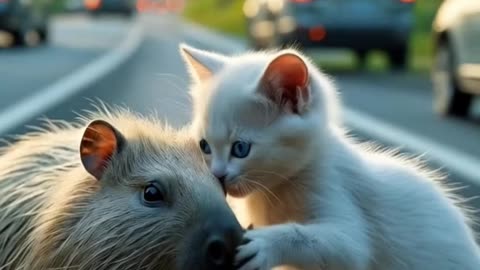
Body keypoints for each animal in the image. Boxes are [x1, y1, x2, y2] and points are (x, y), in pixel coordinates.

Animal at [179, 44, 480, 270]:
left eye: (240, 149)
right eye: (204, 146)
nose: (218, 175)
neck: (275, 190)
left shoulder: (338, 192)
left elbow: (346, 248)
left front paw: (266, 244)